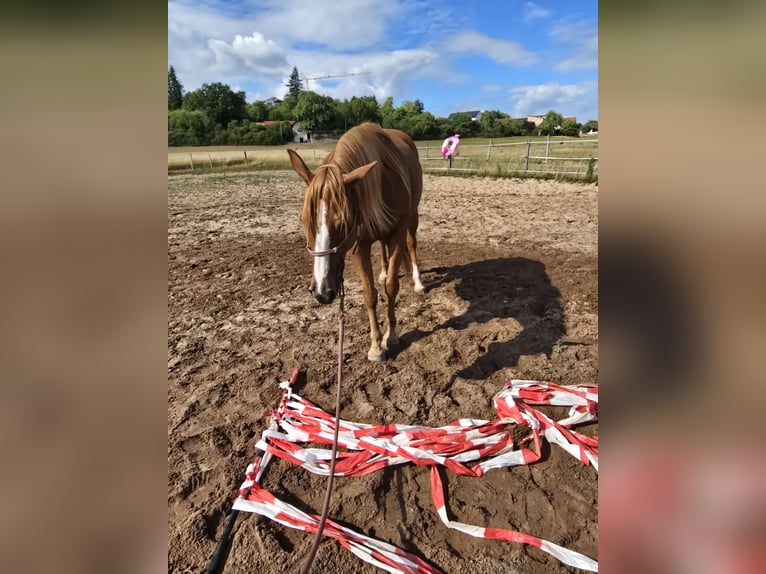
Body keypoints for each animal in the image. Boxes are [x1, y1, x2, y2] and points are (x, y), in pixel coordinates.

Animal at [287, 122, 423, 362]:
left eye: (343, 222)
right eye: (304, 221)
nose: (322, 293)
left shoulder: (397, 235)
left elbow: (391, 287)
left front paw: (391, 336)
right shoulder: (358, 246)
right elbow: (369, 294)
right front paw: (376, 346)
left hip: (412, 218)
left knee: (412, 244)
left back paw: (418, 282)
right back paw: (383, 271)